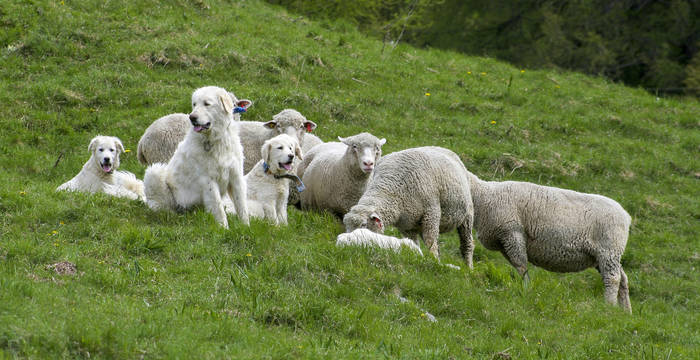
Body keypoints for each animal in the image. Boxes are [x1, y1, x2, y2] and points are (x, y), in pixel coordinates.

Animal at [143, 86, 252, 228]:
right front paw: (224, 228)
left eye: (206, 104)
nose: (192, 117)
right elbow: (218, 207)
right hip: (155, 171)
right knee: (163, 207)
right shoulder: (208, 180)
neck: (216, 140)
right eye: (194, 104)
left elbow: (242, 206)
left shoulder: (236, 176)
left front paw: (245, 227)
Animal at [342, 146, 474, 264]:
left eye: (364, 225)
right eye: (346, 225)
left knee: (467, 244)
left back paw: (468, 267)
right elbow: (413, 243)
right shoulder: (406, 226)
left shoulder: (432, 212)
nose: (350, 243)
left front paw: (434, 261)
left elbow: (430, 241)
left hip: (467, 216)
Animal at [464, 172, 636, 312]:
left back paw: (610, 306)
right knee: (623, 279)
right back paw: (625, 311)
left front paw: (526, 289)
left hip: (609, 249)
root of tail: (626, 216)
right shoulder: (504, 243)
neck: (484, 196)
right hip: (603, 256)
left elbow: (521, 266)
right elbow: (518, 266)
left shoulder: (512, 233)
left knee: (613, 278)